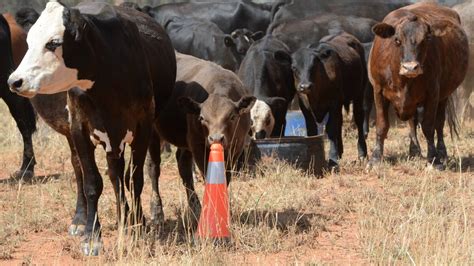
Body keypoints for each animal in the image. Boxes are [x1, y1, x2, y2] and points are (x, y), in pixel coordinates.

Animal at [7, 1, 176, 256]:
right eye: (29, 41)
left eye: (53, 42)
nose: (14, 81)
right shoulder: (79, 128)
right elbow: (92, 182)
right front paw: (92, 236)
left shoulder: (143, 126)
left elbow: (135, 178)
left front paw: (138, 224)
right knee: (81, 169)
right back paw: (81, 220)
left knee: (133, 171)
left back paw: (137, 215)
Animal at [149, 52, 256, 227]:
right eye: (201, 118)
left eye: (232, 117)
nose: (216, 138)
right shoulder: (198, 146)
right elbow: (208, 175)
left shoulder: (236, 147)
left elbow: (225, 177)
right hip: (152, 133)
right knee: (153, 168)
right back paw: (157, 214)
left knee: (184, 166)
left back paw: (195, 207)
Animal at [368, 2, 468, 170]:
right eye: (397, 40)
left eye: (426, 38)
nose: (410, 67)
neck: (403, 82)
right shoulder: (378, 91)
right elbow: (382, 125)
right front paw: (375, 159)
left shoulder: (433, 94)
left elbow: (428, 126)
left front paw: (434, 158)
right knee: (412, 122)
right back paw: (414, 151)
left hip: (444, 96)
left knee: (439, 124)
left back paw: (442, 153)